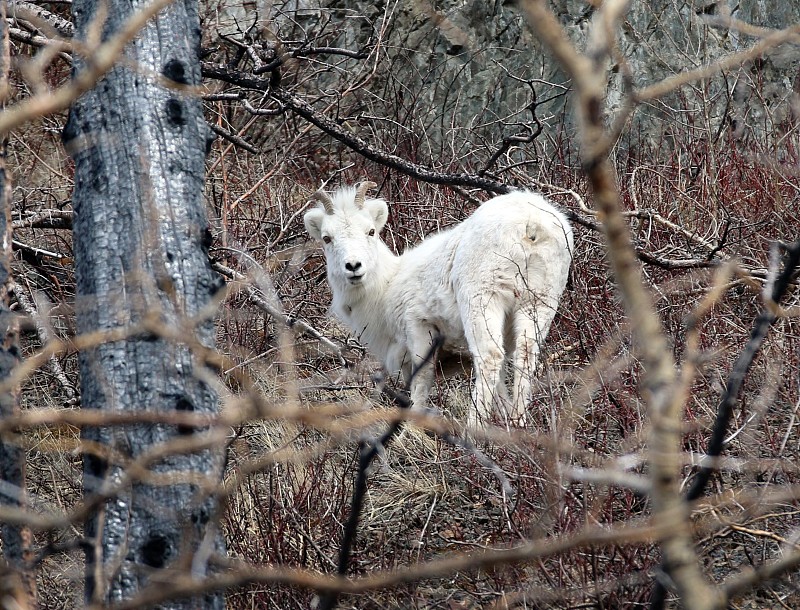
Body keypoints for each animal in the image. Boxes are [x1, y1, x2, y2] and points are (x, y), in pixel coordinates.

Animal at [304, 180, 572, 428]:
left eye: (370, 231)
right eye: (327, 238)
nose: (353, 267)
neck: (387, 287)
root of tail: (530, 225)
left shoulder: (419, 328)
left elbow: (421, 383)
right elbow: (501, 388)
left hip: (483, 300)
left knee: (489, 356)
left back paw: (473, 429)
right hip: (539, 303)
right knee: (526, 356)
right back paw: (518, 423)